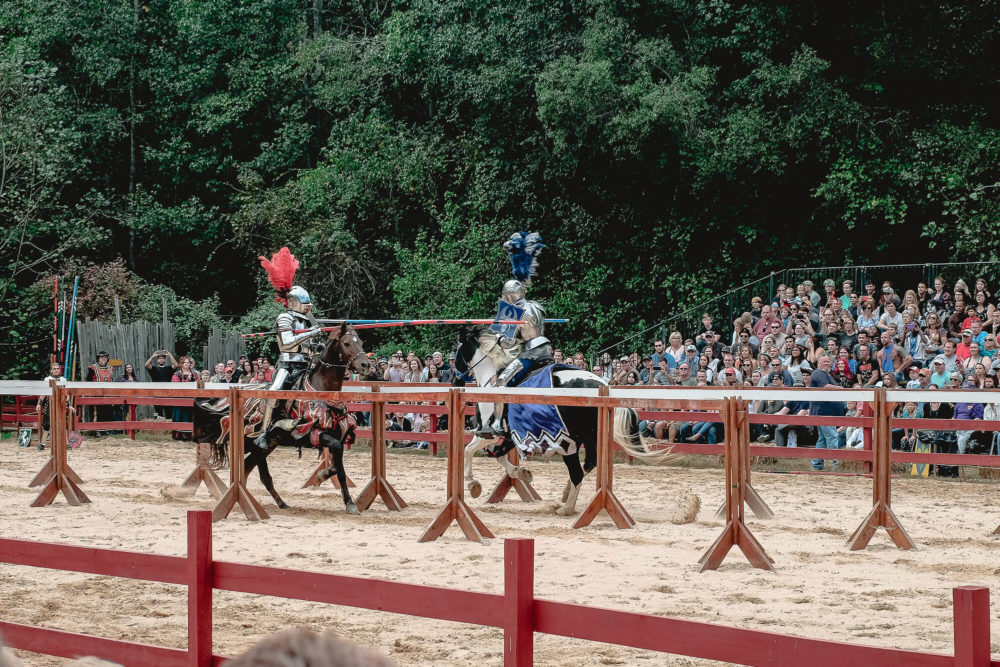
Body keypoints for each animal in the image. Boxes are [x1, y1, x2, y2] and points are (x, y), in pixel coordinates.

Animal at [192, 326, 372, 516]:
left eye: (360, 342)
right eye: (347, 343)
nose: (366, 365)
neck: (321, 390)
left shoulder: (338, 435)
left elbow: (339, 468)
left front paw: (345, 498)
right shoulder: (313, 434)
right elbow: (338, 463)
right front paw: (330, 482)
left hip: (267, 446)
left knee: (247, 469)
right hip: (257, 447)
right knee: (263, 476)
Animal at [458, 328, 676, 516]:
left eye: (458, 348)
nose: (458, 376)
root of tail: (602, 385)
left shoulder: (489, 433)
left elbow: (469, 450)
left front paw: (472, 483)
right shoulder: (511, 436)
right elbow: (499, 455)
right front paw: (522, 472)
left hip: (569, 442)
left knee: (577, 472)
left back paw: (566, 509)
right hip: (589, 438)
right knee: (588, 465)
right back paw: (565, 496)